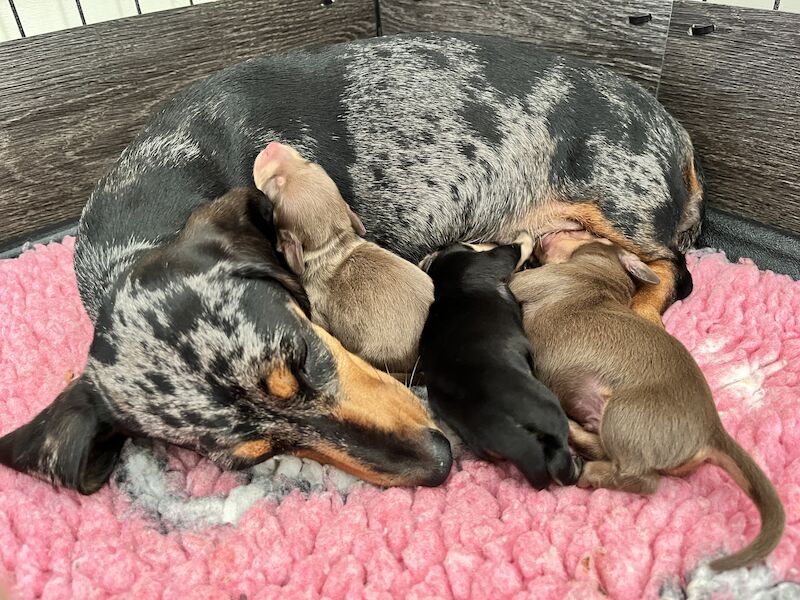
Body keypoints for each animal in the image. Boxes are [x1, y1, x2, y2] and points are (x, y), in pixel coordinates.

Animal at [418, 234, 580, 488]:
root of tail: (499, 424)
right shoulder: (496, 258)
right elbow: (518, 248)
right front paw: (524, 236)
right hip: (549, 410)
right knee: (560, 462)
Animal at [510, 232, 784, 568]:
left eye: (584, 234)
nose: (546, 234)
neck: (606, 274)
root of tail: (713, 430)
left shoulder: (537, 280)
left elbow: (515, 279)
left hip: (624, 415)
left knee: (641, 478)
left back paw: (590, 470)